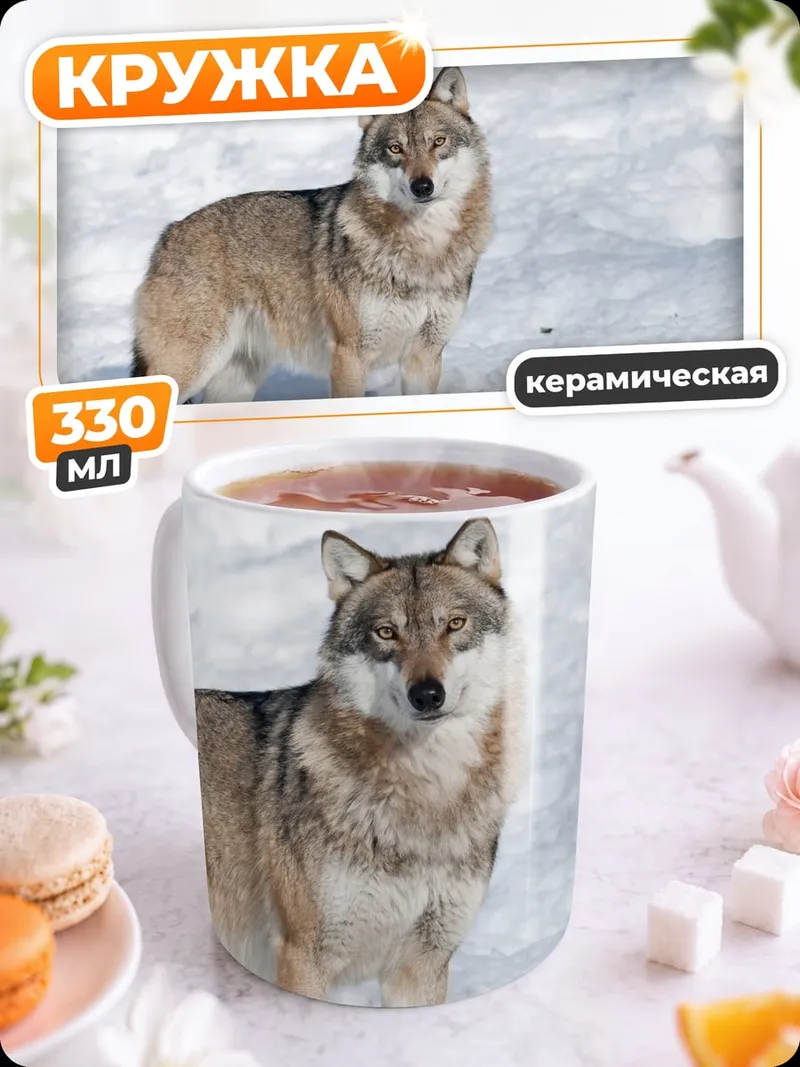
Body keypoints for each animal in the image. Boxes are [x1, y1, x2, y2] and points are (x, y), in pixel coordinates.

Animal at [130, 67, 492, 404]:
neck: (423, 248)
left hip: (235, 380)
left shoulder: (425, 357)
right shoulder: (349, 355)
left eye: (438, 142)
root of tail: (167, 235)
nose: (422, 186)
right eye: (395, 149)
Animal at [195, 518, 528, 1007]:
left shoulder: (423, 964)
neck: (427, 793)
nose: (427, 694)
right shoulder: (304, 955)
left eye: (455, 624)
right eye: (387, 632)